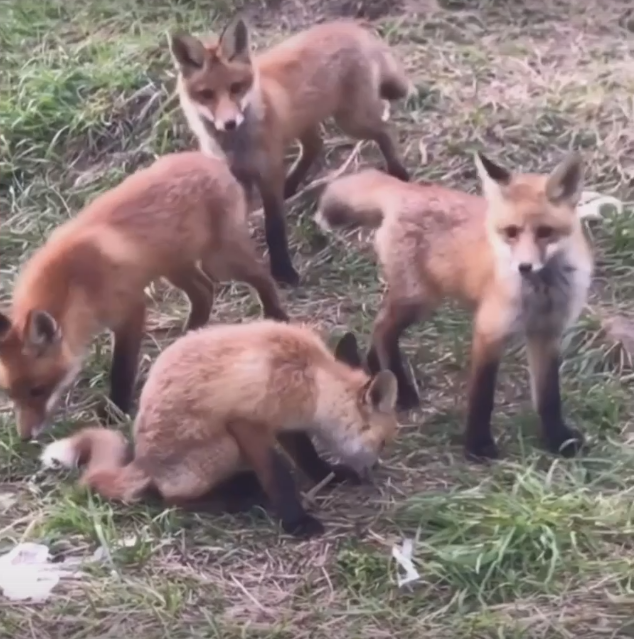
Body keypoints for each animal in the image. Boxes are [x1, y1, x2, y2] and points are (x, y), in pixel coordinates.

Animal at [0, 152, 286, 442]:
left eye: (38, 389)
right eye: (9, 394)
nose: (24, 437)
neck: (74, 283)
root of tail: (206, 157)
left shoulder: (130, 310)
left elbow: (122, 370)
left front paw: (115, 412)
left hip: (219, 262)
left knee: (261, 276)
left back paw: (277, 314)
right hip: (177, 268)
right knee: (205, 292)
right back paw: (185, 340)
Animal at [39, 322, 398, 536]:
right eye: (382, 443)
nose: (374, 472)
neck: (312, 379)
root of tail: (142, 461)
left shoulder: (283, 422)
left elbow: (308, 457)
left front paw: (330, 476)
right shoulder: (246, 424)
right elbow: (277, 473)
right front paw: (296, 521)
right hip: (223, 447)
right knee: (169, 498)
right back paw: (237, 496)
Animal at [168, 15, 412, 288]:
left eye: (236, 87)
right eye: (206, 94)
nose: (229, 123)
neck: (234, 147)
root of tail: (351, 26)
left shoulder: (268, 173)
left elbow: (274, 228)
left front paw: (283, 270)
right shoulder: (237, 178)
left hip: (352, 122)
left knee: (386, 130)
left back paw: (399, 173)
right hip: (309, 125)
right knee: (316, 146)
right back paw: (292, 185)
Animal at [316, 152, 592, 462]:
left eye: (545, 232)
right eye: (511, 232)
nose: (524, 266)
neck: (543, 293)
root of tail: (409, 189)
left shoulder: (548, 334)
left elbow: (549, 397)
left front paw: (558, 439)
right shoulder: (489, 331)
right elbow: (482, 396)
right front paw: (477, 445)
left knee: (380, 328)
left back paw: (379, 371)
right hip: (420, 300)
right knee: (382, 328)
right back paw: (402, 388)